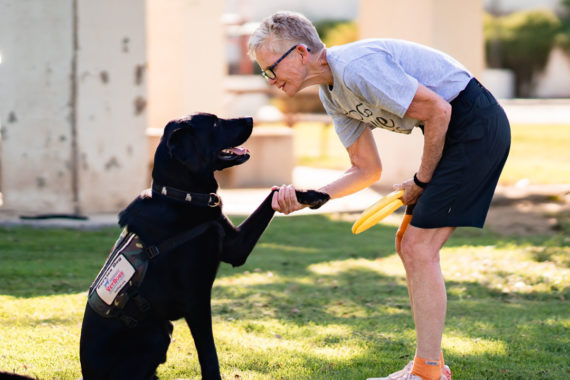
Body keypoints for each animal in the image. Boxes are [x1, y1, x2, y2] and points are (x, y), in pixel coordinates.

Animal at [80, 113, 328, 380]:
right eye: (215, 123)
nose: (251, 118)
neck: (181, 197)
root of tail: (87, 374)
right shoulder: (196, 299)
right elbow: (208, 352)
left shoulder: (235, 246)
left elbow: (273, 194)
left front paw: (312, 194)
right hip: (156, 334)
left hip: (165, 327)